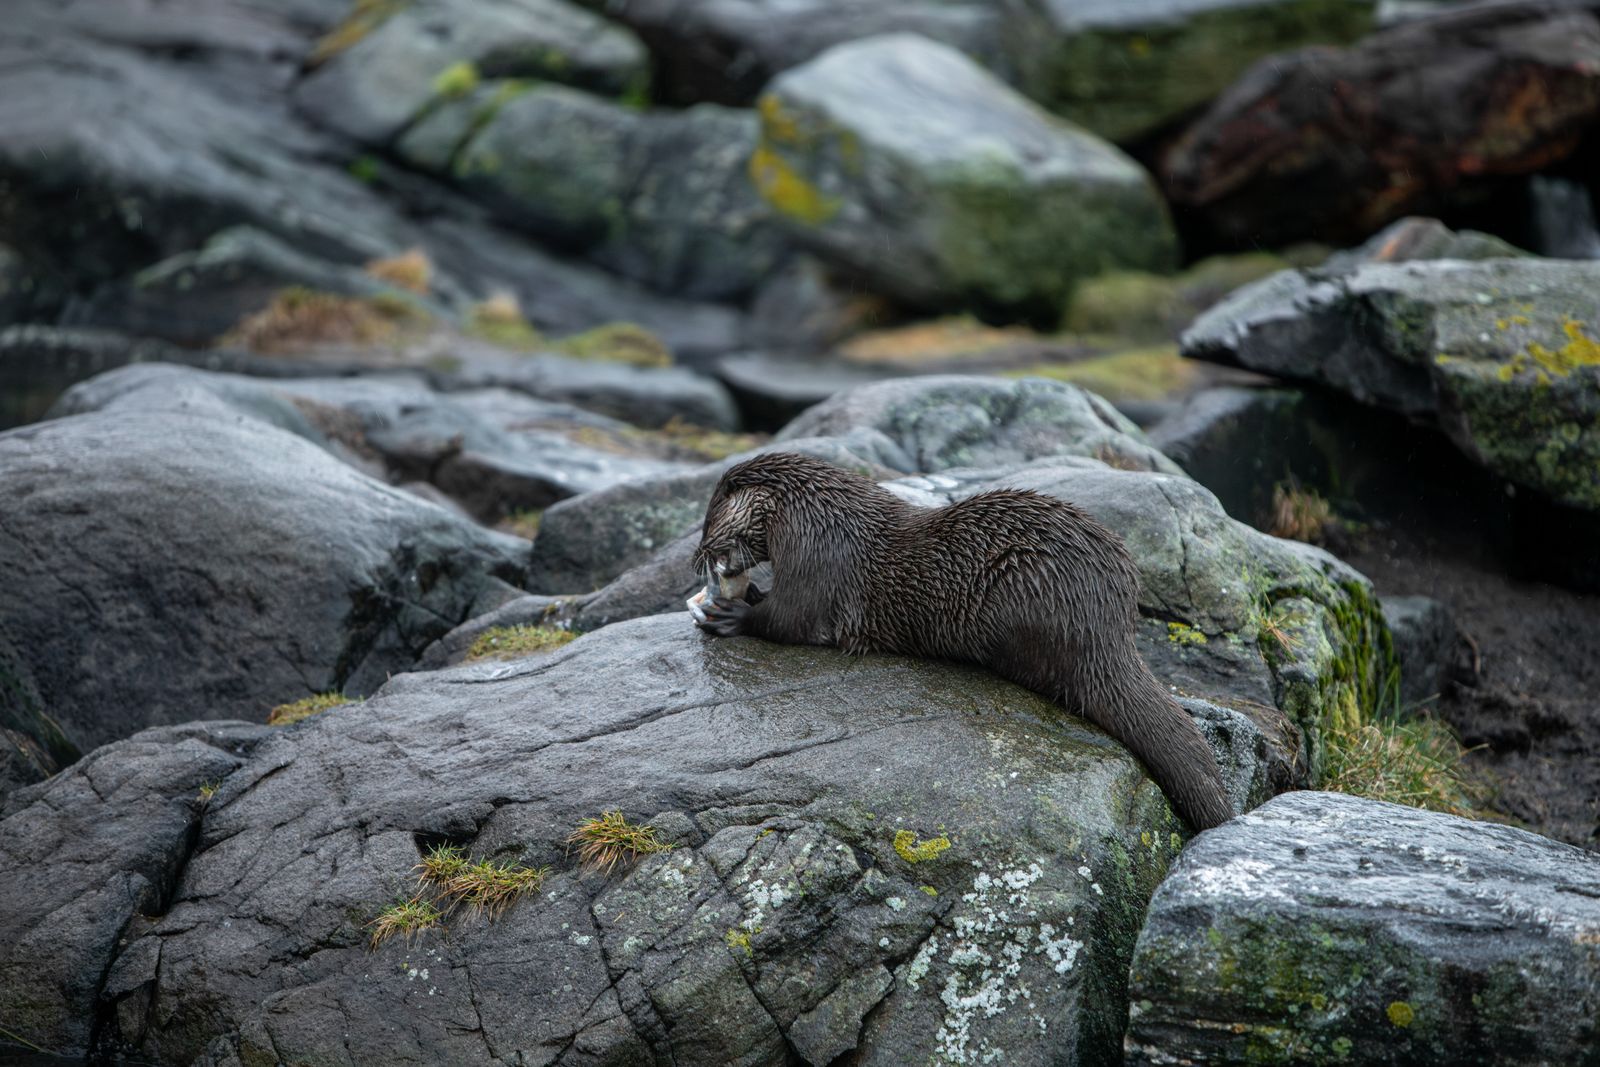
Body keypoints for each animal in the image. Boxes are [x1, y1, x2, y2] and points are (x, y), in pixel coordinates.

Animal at [687, 451, 1233, 831]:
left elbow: (790, 620)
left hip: (1023, 597)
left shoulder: (816, 560)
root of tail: (1110, 628)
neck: (815, 514)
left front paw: (730, 612)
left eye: (708, 520)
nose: (697, 557)